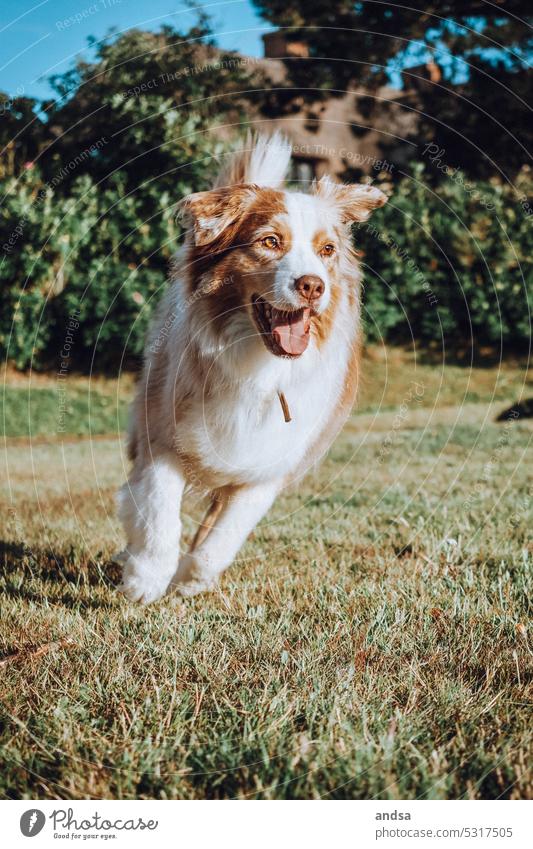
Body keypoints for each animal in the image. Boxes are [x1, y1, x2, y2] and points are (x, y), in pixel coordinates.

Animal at [115, 134, 386, 604]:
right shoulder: (161, 433)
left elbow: (223, 537)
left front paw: (192, 579)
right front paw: (146, 577)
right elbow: (159, 510)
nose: (312, 285)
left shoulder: (270, 462)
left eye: (327, 250)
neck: (258, 365)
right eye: (270, 242)